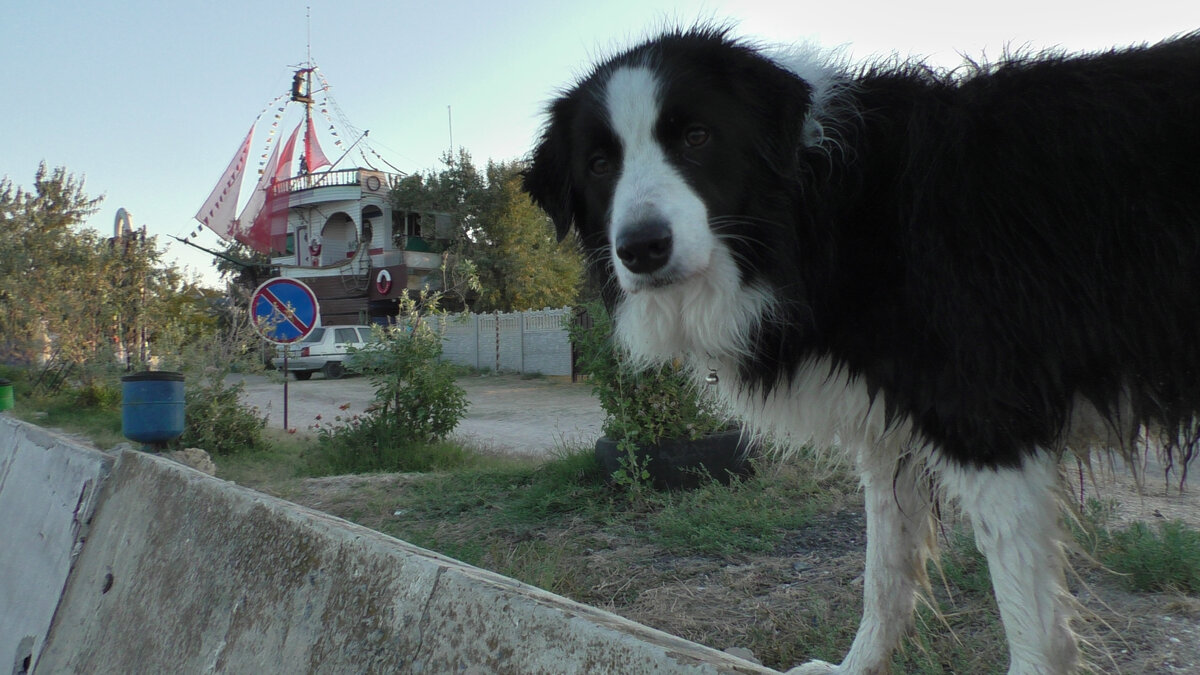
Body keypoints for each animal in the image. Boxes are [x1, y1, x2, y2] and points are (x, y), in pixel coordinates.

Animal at [525, 26, 1200, 672]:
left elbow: (1031, 629)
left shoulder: (985, 420)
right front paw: (856, 666)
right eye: (598, 164)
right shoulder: (886, 430)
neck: (819, 208)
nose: (641, 249)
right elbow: (884, 574)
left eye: (696, 137)